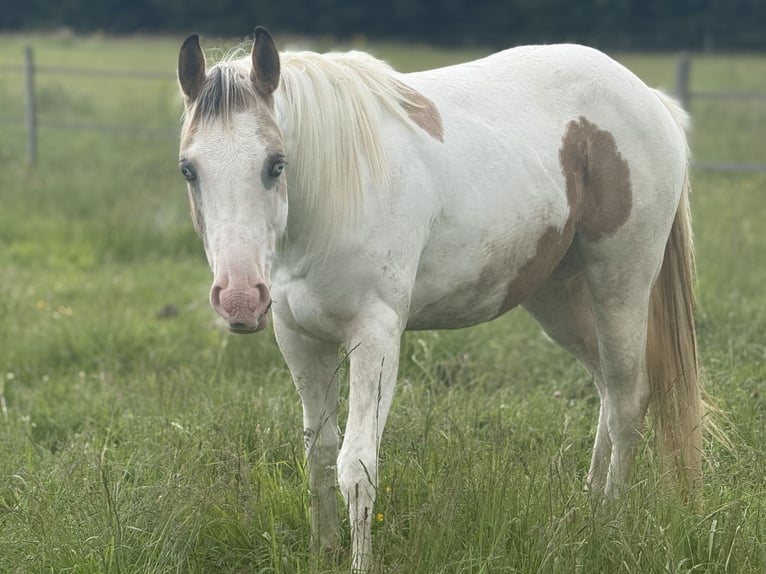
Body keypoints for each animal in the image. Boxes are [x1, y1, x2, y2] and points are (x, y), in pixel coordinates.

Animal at [176, 27, 702, 572]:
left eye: (275, 165)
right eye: (189, 170)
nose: (239, 299)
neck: (331, 197)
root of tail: (650, 100)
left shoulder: (376, 336)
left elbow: (357, 464)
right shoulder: (299, 338)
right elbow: (319, 453)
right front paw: (326, 549)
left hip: (620, 285)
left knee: (626, 400)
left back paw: (611, 522)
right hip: (561, 296)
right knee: (606, 390)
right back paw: (589, 507)